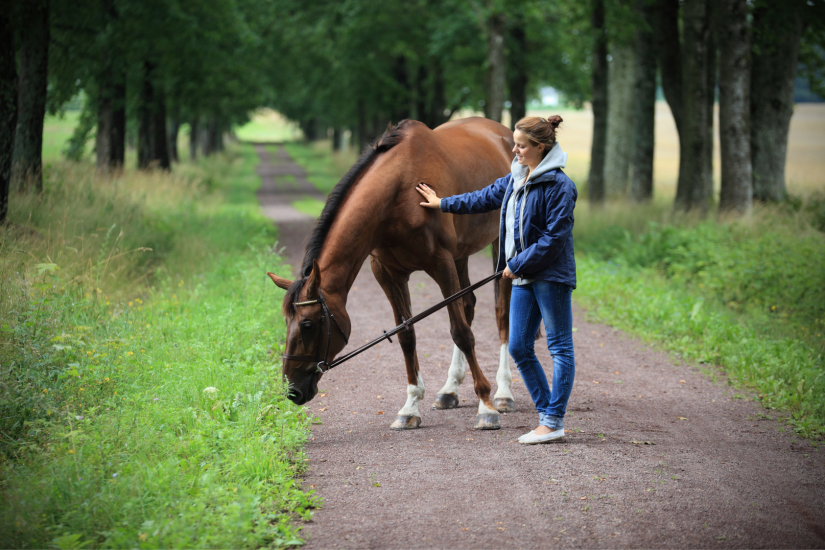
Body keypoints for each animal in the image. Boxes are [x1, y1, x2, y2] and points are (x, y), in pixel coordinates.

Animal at [267, 117, 517, 430]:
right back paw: (449, 390)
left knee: (501, 314)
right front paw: (410, 408)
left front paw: (486, 406)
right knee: (468, 304)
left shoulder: (441, 264)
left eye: (308, 324)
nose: (292, 390)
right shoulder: (388, 273)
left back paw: (504, 393)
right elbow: (406, 335)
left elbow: (461, 332)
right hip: (462, 254)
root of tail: (504, 133)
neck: (400, 193)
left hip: (499, 247)